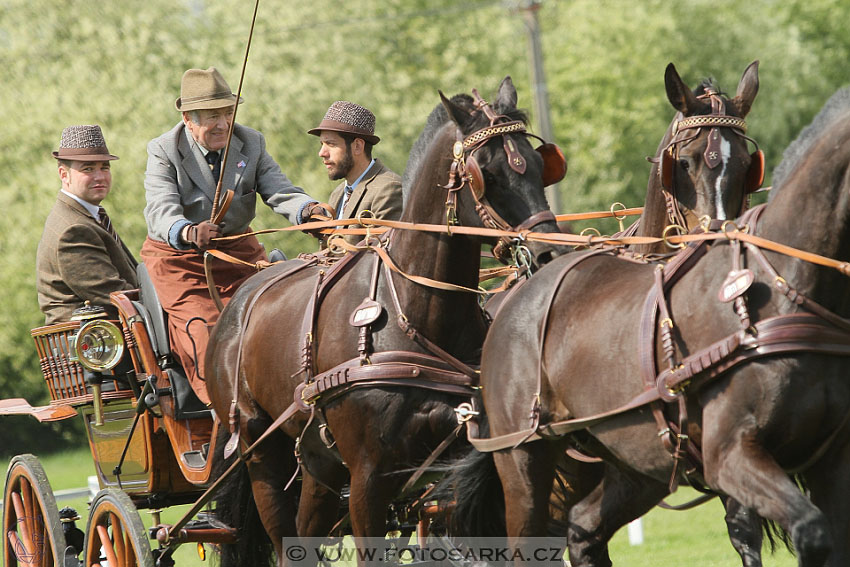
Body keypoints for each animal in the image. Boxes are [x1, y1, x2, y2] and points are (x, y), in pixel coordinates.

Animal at [205, 77, 564, 564]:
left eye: (539, 166)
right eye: (484, 174)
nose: (549, 255)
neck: (417, 314)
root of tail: (238, 300)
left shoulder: (465, 465)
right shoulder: (368, 478)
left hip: (318, 458)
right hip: (260, 450)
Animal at [470, 89, 848, 567]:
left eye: (749, 163)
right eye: (682, 162)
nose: (712, 232)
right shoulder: (731, 452)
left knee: (581, 528)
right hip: (524, 459)